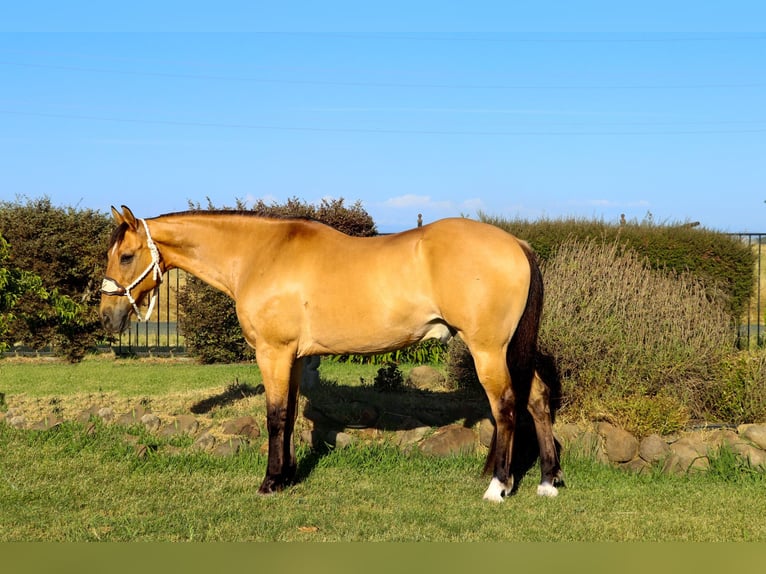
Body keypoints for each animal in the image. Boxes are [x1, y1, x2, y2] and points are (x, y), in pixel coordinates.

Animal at [99, 205, 562, 502]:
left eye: (126, 256)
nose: (107, 316)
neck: (259, 254)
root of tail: (517, 243)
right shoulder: (295, 357)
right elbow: (288, 417)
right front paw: (286, 477)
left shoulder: (273, 352)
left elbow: (275, 415)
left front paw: (269, 483)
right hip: (510, 349)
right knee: (537, 399)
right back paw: (548, 481)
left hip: (487, 349)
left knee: (506, 406)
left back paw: (498, 487)